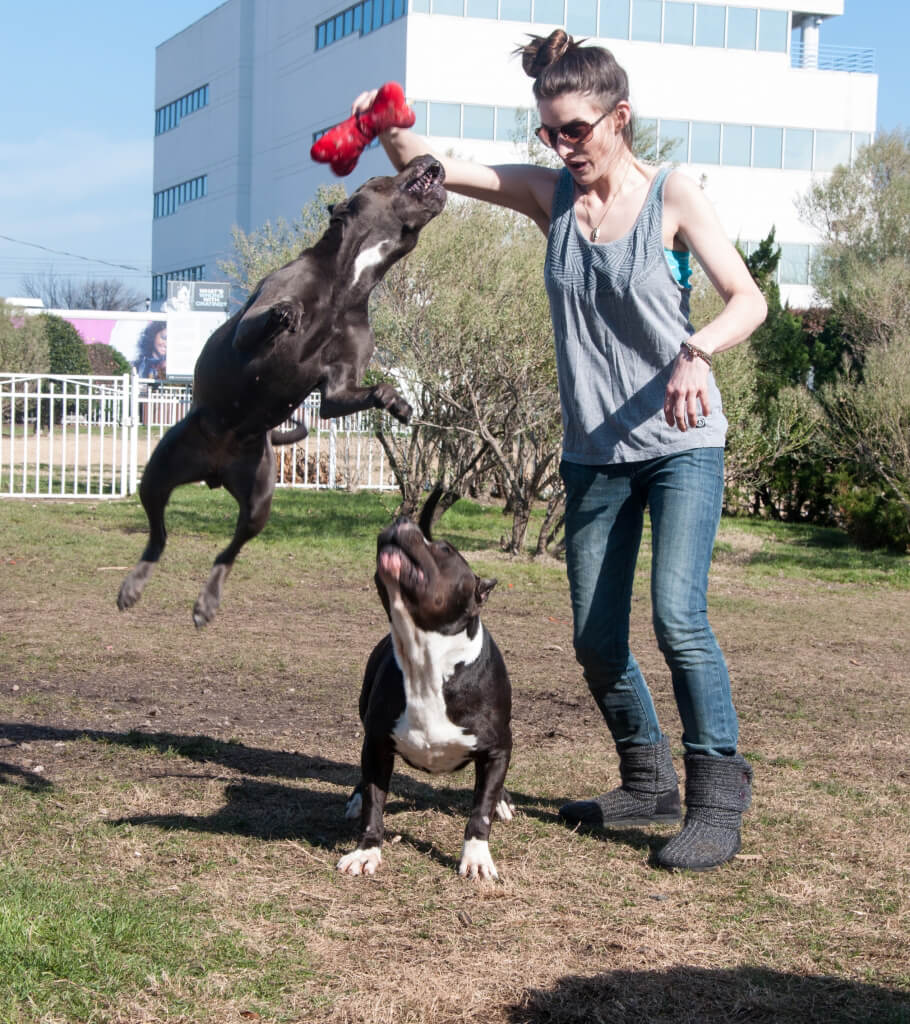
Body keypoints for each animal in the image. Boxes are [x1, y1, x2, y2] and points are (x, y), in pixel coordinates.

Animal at [118, 155, 446, 626]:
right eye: (378, 176)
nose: (427, 157)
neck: (349, 280)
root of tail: (214, 472)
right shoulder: (251, 324)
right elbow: (264, 321)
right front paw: (287, 314)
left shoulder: (340, 386)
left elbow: (350, 395)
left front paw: (396, 401)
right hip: (159, 472)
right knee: (158, 534)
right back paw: (134, 584)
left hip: (258, 499)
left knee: (229, 550)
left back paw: (207, 602)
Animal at [339, 497, 511, 880]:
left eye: (445, 549)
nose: (403, 518)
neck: (425, 659)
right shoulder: (377, 745)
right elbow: (374, 803)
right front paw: (366, 850)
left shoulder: (497, 750)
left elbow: (481, 810)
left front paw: (477, 856)